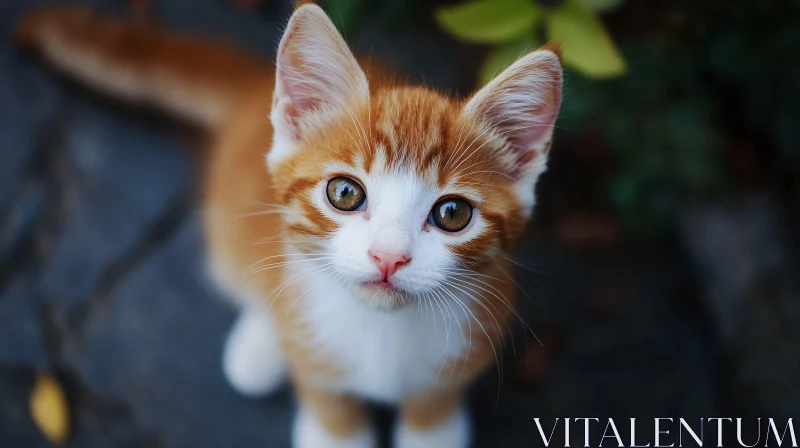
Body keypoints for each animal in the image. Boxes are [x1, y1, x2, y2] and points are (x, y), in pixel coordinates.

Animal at [14, 1, 564, 446]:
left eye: (453, 214)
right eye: (345, 193)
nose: (388, 257)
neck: (381, 333)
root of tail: (257, 84)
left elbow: (437, 394)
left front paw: (434, 431)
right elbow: (323, 396)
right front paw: (333, 430)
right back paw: (260, 345)